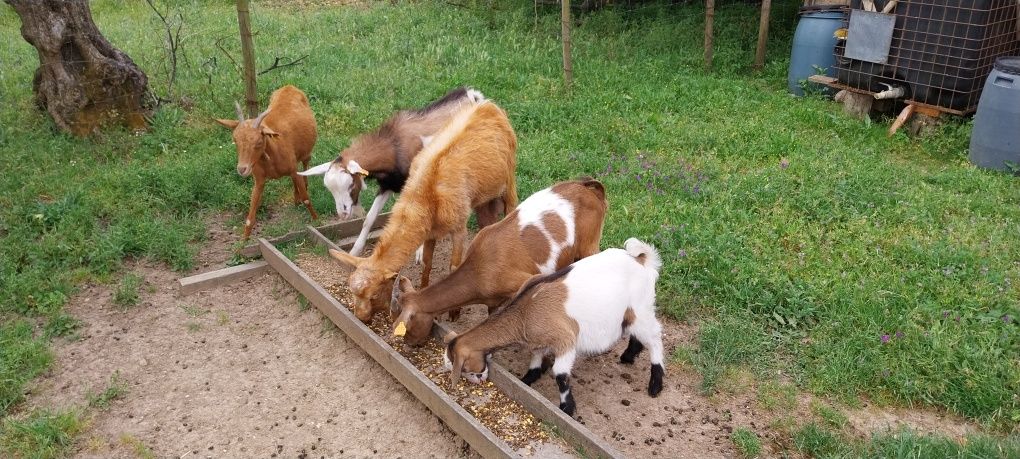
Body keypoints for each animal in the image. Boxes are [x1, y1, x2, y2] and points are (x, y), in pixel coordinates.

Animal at [218, 84, 318, 240]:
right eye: (235, 140)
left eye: (259, 141)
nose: (242, 169)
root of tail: (289, 86)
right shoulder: (259, 180)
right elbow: (250, 217)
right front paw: (243, 243)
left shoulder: (292, 168)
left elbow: (306, 198)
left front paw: (317, 220)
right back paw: (296, 199)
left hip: (306, 154)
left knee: (305, 165)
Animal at [297, 87, 485, 256]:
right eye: (330, 189)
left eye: (350, 185)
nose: (343, 214)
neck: (394, 147)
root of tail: (473, 95)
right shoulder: (387, 185)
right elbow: (369, 219)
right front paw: (354, 252)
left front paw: (420, 252)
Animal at [328, 100, 518, 322]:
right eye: (352, 292)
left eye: (374, 295)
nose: (360, 318)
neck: (425, 196)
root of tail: (489, 105)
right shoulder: (430, 232)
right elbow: (427, 263)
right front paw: (423, 292)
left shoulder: (459, 228)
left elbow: (454, 266)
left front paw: (454, 313)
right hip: (484, 197)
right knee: (486, 223)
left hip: (509, 180)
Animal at [387, 178, 603, 344]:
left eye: (406, 327)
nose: (410, 344)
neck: (478, 269)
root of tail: (588, 186)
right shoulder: (492, 300)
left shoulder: (523, 281)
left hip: (590, 244)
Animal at [442, 238, 665, 418]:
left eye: (465, 368)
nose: (478, 381)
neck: (525, 311)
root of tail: (641, 259)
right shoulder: (538, 340)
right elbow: (535, 359)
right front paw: (527, 380)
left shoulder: (565, 339)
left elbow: (560, 374)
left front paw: (567, 408)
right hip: (631, 313)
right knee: (637, 333)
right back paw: (628, 356)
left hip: (640, 307)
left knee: (654, 337)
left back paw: (655, 384)